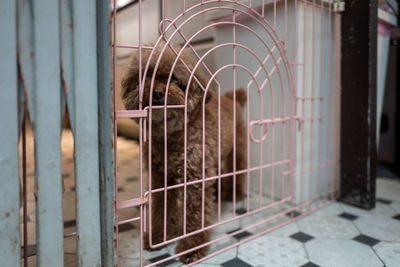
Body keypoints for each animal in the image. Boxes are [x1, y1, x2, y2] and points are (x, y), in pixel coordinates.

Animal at [121, 42, 247, 264]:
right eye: (147, 75)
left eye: (175, 80)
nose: (157, 93)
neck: (172, 135)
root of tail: (231, 97)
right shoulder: (160, 178)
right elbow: (160, 209)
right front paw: (158, 238)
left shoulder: (196, 178)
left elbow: (195, 215)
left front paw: (191, 248)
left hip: (237, 147)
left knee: (238, 169)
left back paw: (236, 193)